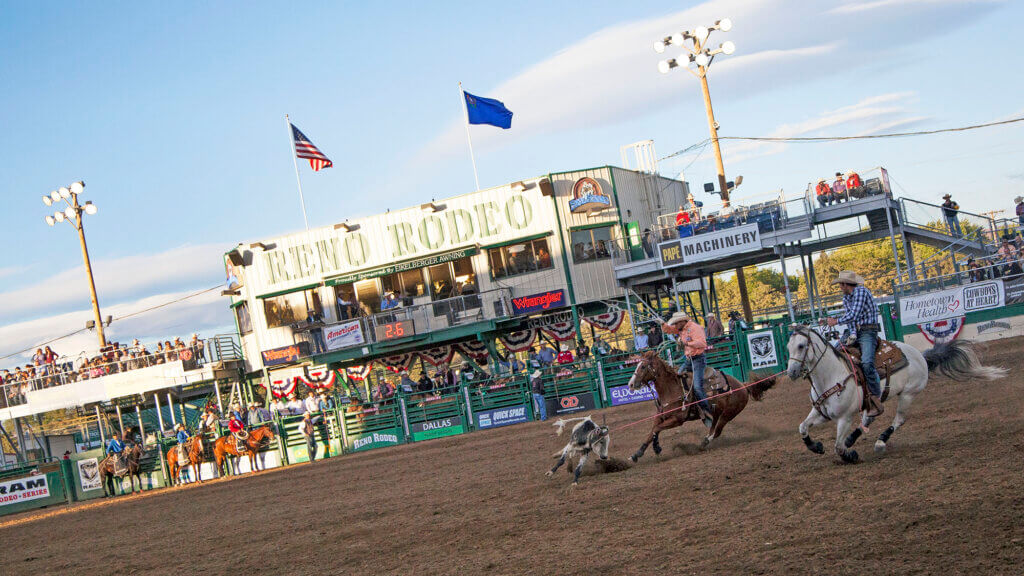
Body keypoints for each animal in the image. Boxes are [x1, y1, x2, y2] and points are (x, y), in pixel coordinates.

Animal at [622, 344, 774, 461]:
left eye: (643, 366)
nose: (630, 384)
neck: (671, 389)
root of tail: (743, 385)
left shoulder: (677, 420)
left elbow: (656, 429)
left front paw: (655, 448)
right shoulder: (660, 416)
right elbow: (652, 431)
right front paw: (638, 453)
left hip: (728, 414)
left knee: (717, 431)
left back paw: (702, 444)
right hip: (717, 412)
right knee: (713, 426)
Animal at [786, 323, 1003, 461]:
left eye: (801, 346)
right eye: (788, 347)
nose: (791, 372)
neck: (832, 375)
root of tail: (920, 356)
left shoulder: (844, 417)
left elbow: (838, 447)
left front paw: (851, 455)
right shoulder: (821, 413)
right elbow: (802, 427)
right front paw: (816, 446)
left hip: (908, 395)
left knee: (898, 420)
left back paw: (880, 442)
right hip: (877, 399)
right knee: (869, 418)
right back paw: (853, 438)